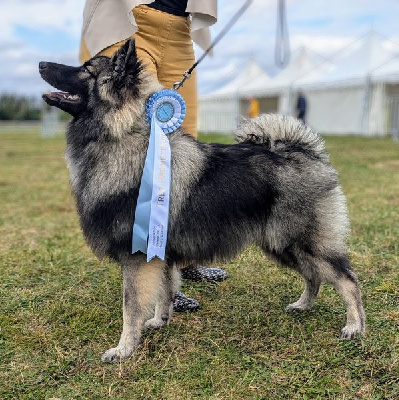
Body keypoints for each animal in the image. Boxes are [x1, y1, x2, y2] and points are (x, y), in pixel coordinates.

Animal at [39, 38, 368, 362]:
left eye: (86, 69)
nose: (41, 64)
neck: (126, 137)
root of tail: (305, 153)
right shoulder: (159, 252)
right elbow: (165, 292)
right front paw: (159, 321)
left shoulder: (137, 256)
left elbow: (130, 308)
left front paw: (123, 349)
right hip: (283, 244)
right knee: (314, 276)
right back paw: (303, 305)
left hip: (303, 242)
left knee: (346, 279)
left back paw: (354, 326)